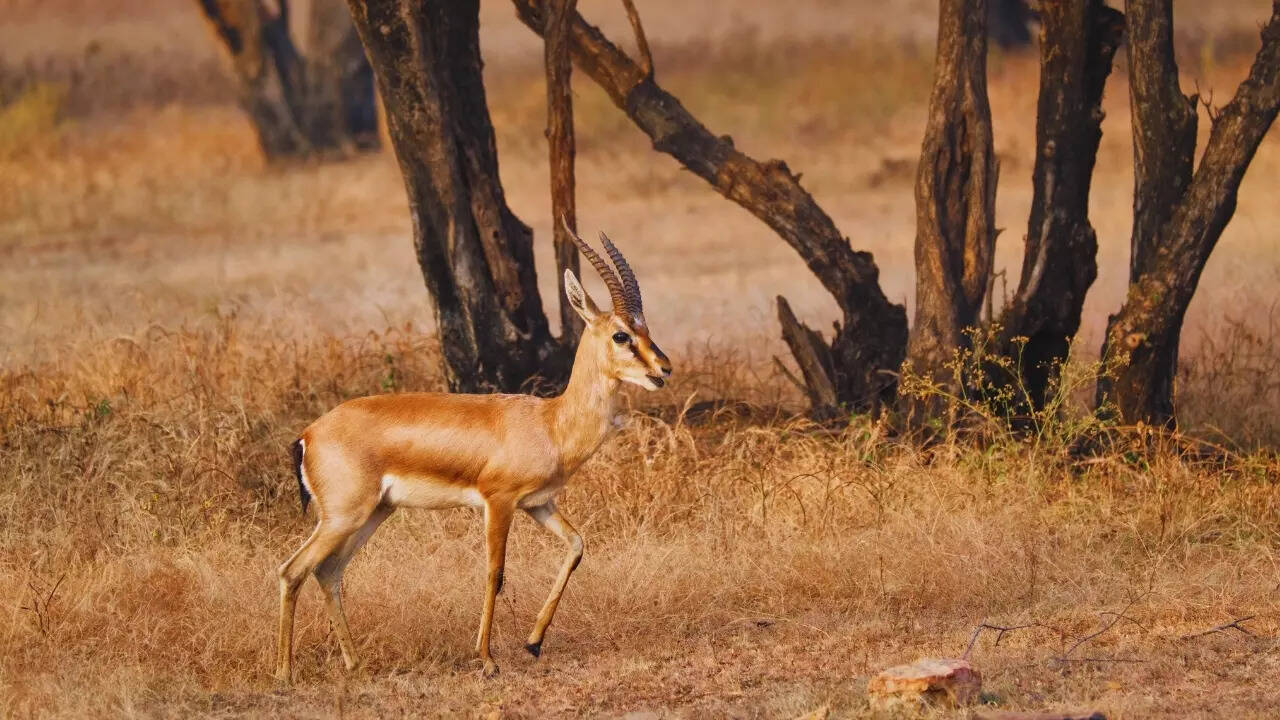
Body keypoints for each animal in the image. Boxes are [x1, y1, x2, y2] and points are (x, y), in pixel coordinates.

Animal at [274, 227, 671, 683]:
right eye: (621, 335)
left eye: (646, 328)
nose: (664, 368)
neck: (550, 423)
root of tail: (308, 435)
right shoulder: (498, 502)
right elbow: (494, 572)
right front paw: (486, 659)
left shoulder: (538, 504)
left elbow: (576, 545)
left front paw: (533, 643)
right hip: (343, 517)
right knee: (292, 570)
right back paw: (283, 673)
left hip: (372, 513)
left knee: (329, 571)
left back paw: (355, 664)